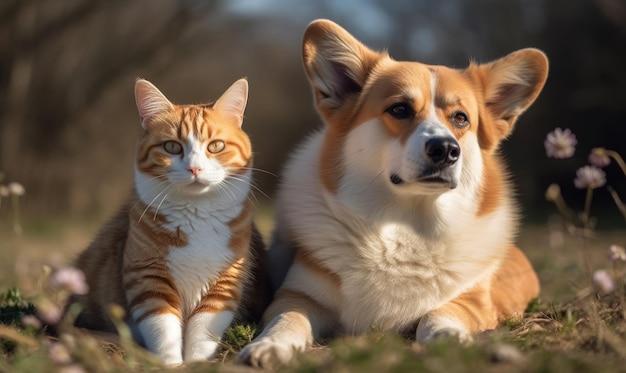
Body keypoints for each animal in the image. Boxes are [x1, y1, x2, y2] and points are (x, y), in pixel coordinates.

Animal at [70, 78, 266, 364]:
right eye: (172, 147)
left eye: (216, 146)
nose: (195, 168)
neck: (196, 215)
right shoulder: (148, 278)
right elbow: (163, 329)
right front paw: (172, 364)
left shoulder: (225, 284)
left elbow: (204, 333)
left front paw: (197, 364)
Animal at [239, 18, 544, 368]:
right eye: (400, 109)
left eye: (460, 118)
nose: (446, 150)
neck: (406, 223)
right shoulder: (297, 296)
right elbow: (288, 320)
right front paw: (269, 346)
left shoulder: (473, 301)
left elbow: (439, 314)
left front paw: (449, 338)